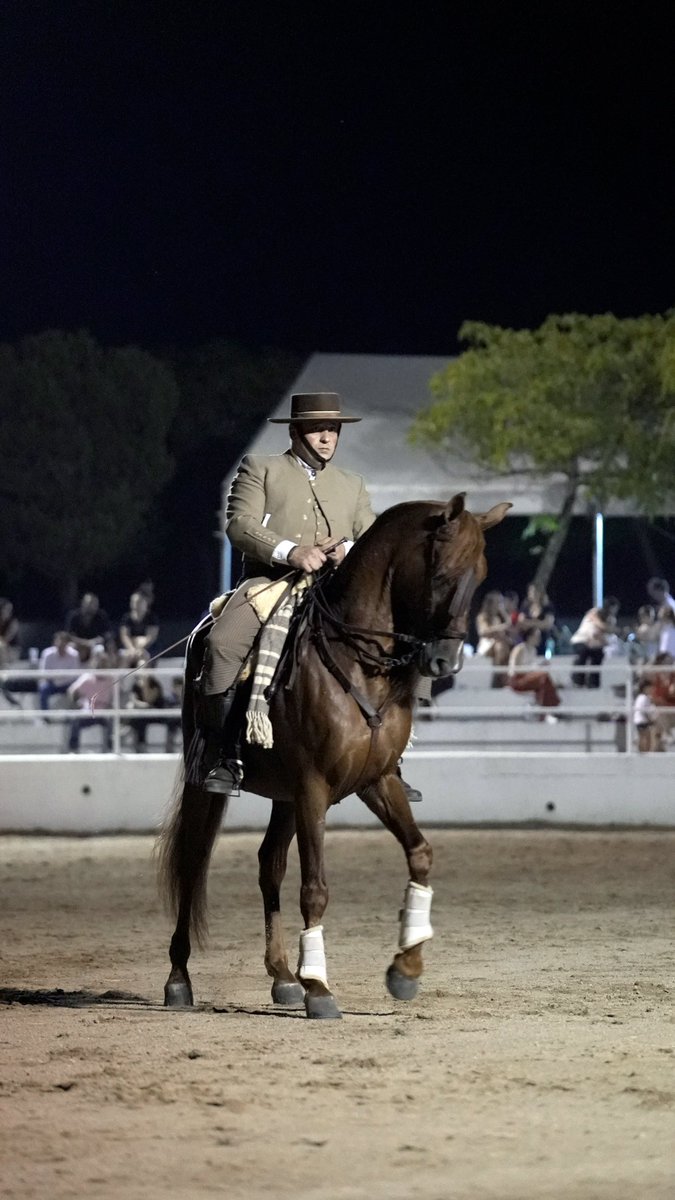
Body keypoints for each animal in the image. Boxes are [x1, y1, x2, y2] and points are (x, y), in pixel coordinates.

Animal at [158, 492, 511, 1018]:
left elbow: (419, 854)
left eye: (481, 575)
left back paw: (283, 976)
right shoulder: (314, 786)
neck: (359, 664)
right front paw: (319, 988)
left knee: (269, 865)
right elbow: (315, 888)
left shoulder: (376, 780)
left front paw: (405, 968)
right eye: (442, 572)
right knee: (193, 859)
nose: (444, 662)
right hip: (209, 778)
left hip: (284, 795)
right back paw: (180, 979)